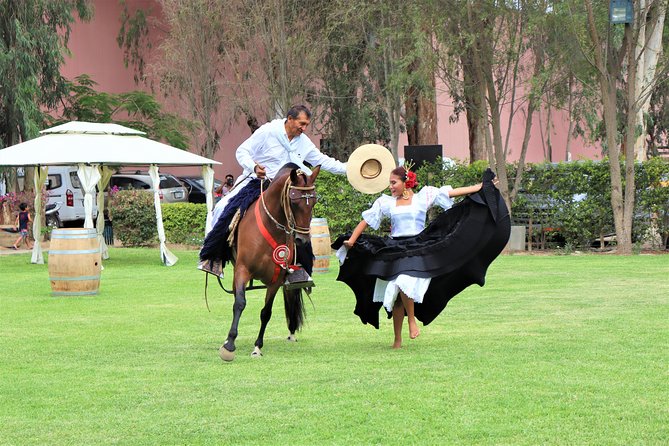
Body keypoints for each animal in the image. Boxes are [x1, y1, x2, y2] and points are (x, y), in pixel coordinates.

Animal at [219, 162, 320, 360]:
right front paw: (229, 343)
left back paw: (291, 332)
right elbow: (239, 303)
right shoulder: (242, 269)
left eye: (313, 202)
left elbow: (266, 312)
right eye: (293, 201)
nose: (302, 240)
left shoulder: (277, 279)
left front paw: (257, 347)